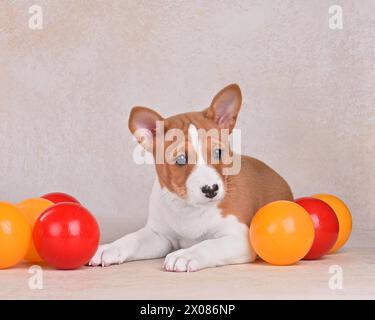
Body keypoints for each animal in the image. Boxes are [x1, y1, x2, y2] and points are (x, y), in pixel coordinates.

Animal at [89, 84, 294, 272]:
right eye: (181, 159)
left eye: (219, 153)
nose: (211, 189)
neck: (190, 209)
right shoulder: (159, 235)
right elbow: (134, 238)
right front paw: (110, 247)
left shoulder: (239, 238)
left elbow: (210, 244)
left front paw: (187, 254)